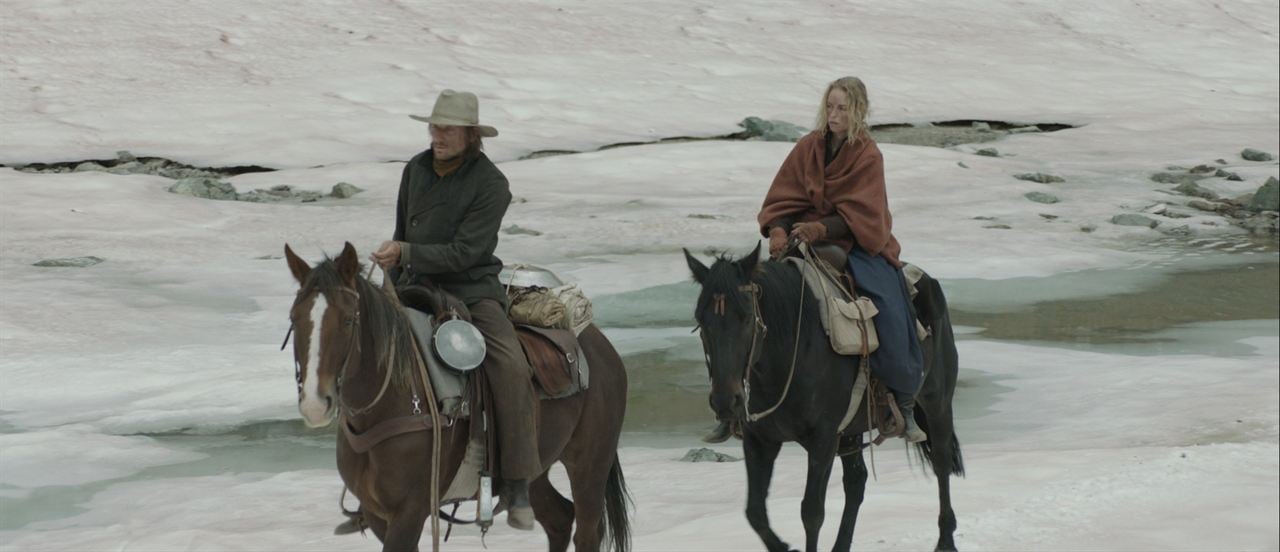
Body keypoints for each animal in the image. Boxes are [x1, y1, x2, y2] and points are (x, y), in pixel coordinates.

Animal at [286, 245, 634, 552]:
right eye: (294, 318)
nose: (315, 404)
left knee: (586, 531)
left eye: (348, 320)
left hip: (590, 463)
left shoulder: (409, 511)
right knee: (560, 519)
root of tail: (601, 345)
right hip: (538, 467)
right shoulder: (376, 514)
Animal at [686, 245, 962, 552]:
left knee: (940, 461)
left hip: (937, 401)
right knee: (856, 482)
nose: (725, 401)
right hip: (851, 432)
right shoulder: (760, 440)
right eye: (701, 320)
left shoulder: (823, 439)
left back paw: (946, 540)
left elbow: (812, 512)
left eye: (746, 316)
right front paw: (785, 547)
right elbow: (755, 511)